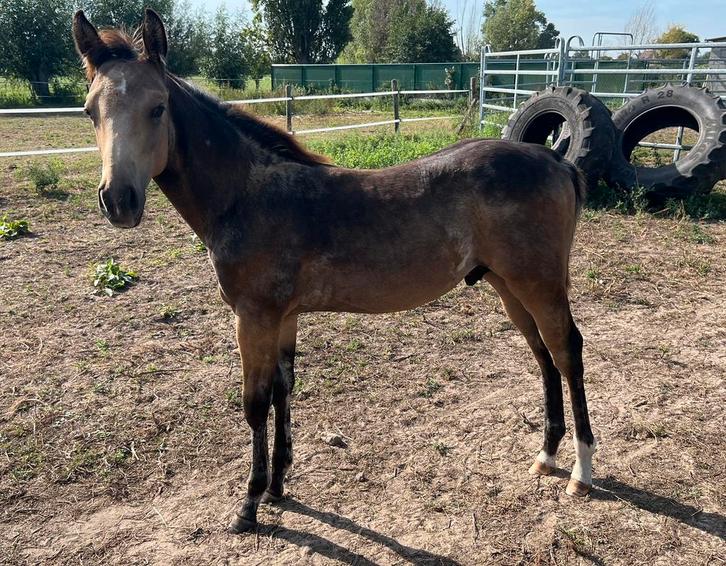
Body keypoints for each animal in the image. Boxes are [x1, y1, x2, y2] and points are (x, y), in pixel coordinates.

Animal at [72, 9, 597, 533]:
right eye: (90, 111)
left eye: (157, 108)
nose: (118, 201)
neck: (247, 195)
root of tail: (556, 159)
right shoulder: (284, 317)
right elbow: (283, 390)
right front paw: (278, 487)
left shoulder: (253, 317)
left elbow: (254, 403)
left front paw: (249, 504)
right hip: (508, 286)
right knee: (543, 355)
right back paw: (546, 456)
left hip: (540, 285)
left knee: (567, 351)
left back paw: (582, 472)